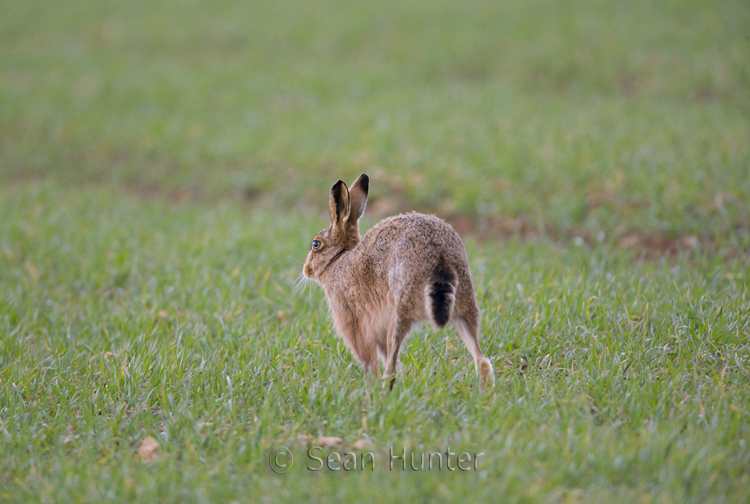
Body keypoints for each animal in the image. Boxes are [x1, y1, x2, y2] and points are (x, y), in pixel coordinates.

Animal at [303, 173, 494, 390]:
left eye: (316, 244)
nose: (306, 270)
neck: (338, 259)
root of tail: (439, 256)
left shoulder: (352, 321)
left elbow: (369, 361)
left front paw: (369, 385)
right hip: (464, 304)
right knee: (482, 359)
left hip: (400, 310)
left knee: (391, 367)